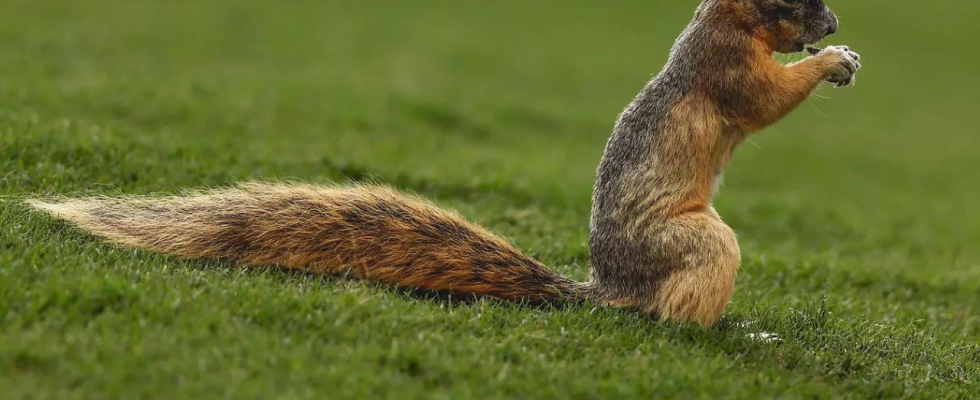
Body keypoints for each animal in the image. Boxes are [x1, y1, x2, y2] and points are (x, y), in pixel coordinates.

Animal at [28, 0, 856, 328]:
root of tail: (611, 290)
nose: (834, 19)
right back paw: (720, 331)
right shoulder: (727, 69)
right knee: (671, 308)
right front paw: (832, 63)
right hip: (693, 244)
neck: (725, 20)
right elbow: (765, 97)